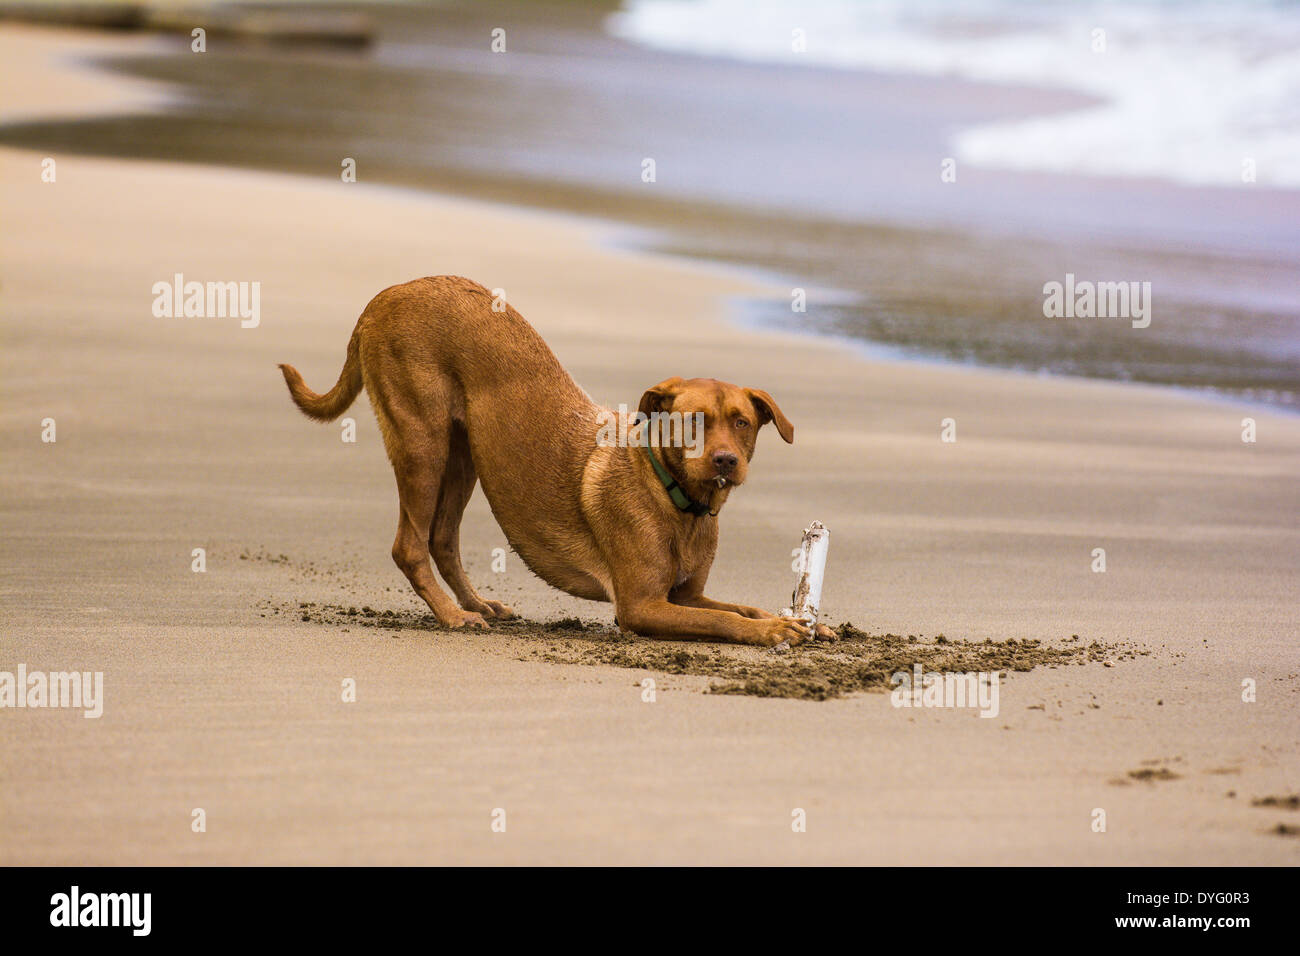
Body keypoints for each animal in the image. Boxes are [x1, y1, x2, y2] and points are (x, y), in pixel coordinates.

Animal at [279, 280, 826, 647]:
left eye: (742, 422)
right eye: (693, 421)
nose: (726, 461)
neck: (677, 500)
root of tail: (387, 294)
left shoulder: (685, 596)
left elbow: (741, 605)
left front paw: (797, 620)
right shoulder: (641, 607)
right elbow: (725, 620)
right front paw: (774, 629)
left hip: (464, 454)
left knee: (442, 538)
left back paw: (475, 604)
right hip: (423, 443)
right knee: (409, 545)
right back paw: (453, 616)